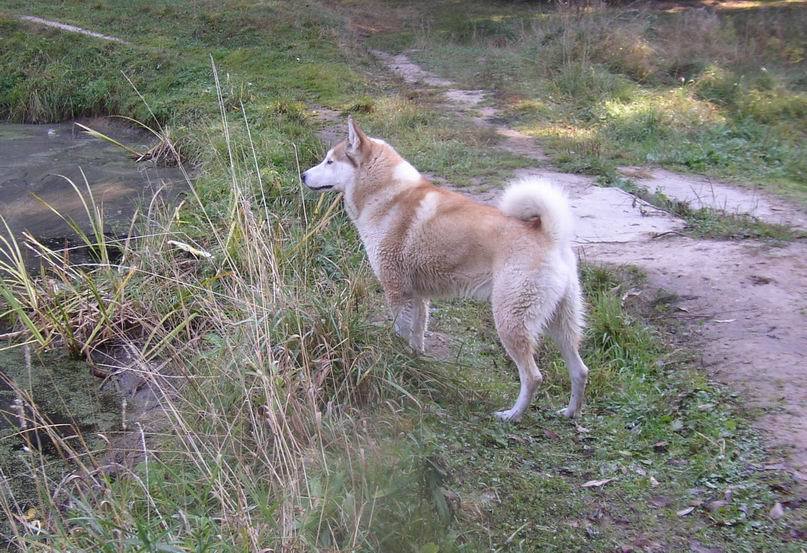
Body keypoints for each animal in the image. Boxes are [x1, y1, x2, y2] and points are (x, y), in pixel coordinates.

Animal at [302, 116, 588, 418]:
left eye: (330, 161)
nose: (303, 176)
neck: (387, 195)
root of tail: (550, 235)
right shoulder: (417, 296)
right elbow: (417, 335)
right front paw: (414, 364)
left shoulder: (396, 291)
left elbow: (400, 332)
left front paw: (397, 360)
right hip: (561, 324)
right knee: (580, 370)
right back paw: (569, 413)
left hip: (510, 321)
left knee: (533, 377)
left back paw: (511, 416)